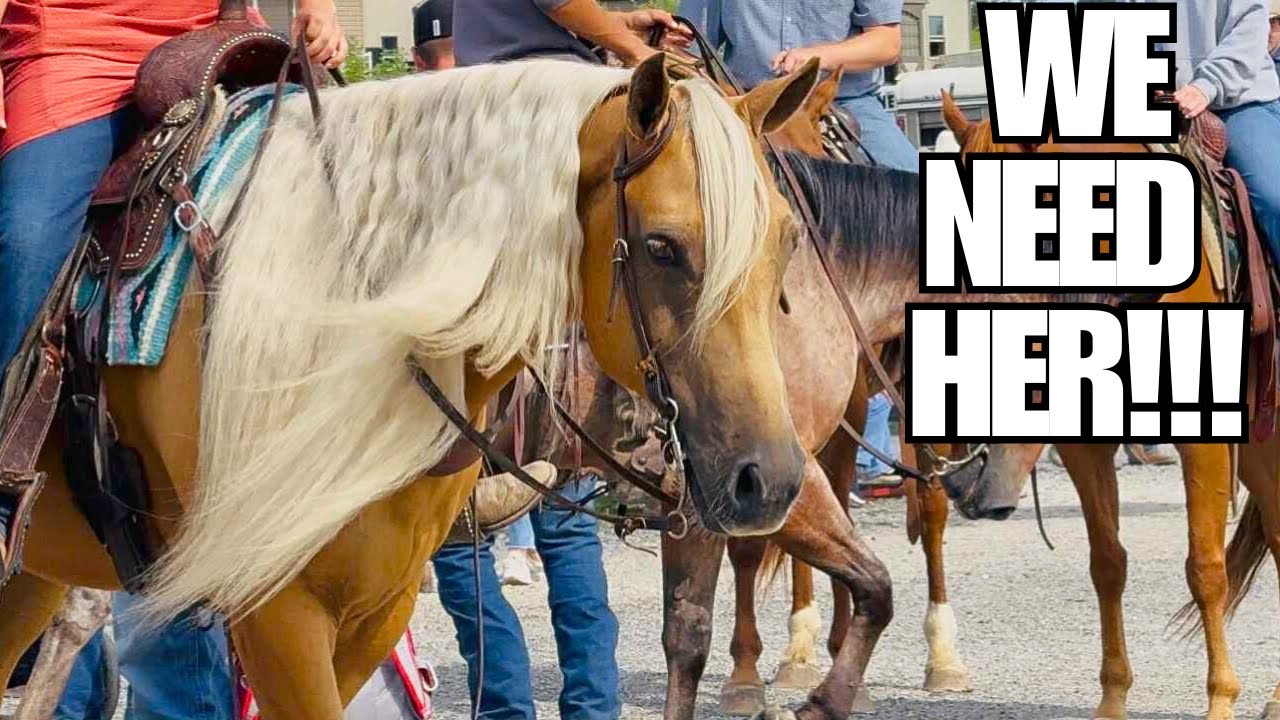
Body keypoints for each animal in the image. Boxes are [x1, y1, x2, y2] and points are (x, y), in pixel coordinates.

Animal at [932, 91, 1260, 720]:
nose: (963, 478)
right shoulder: (1084, 444)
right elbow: (1107, 564)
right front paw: (1112, 698)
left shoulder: (1203, 439)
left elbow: (1205, 568)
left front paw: (1221, 699)